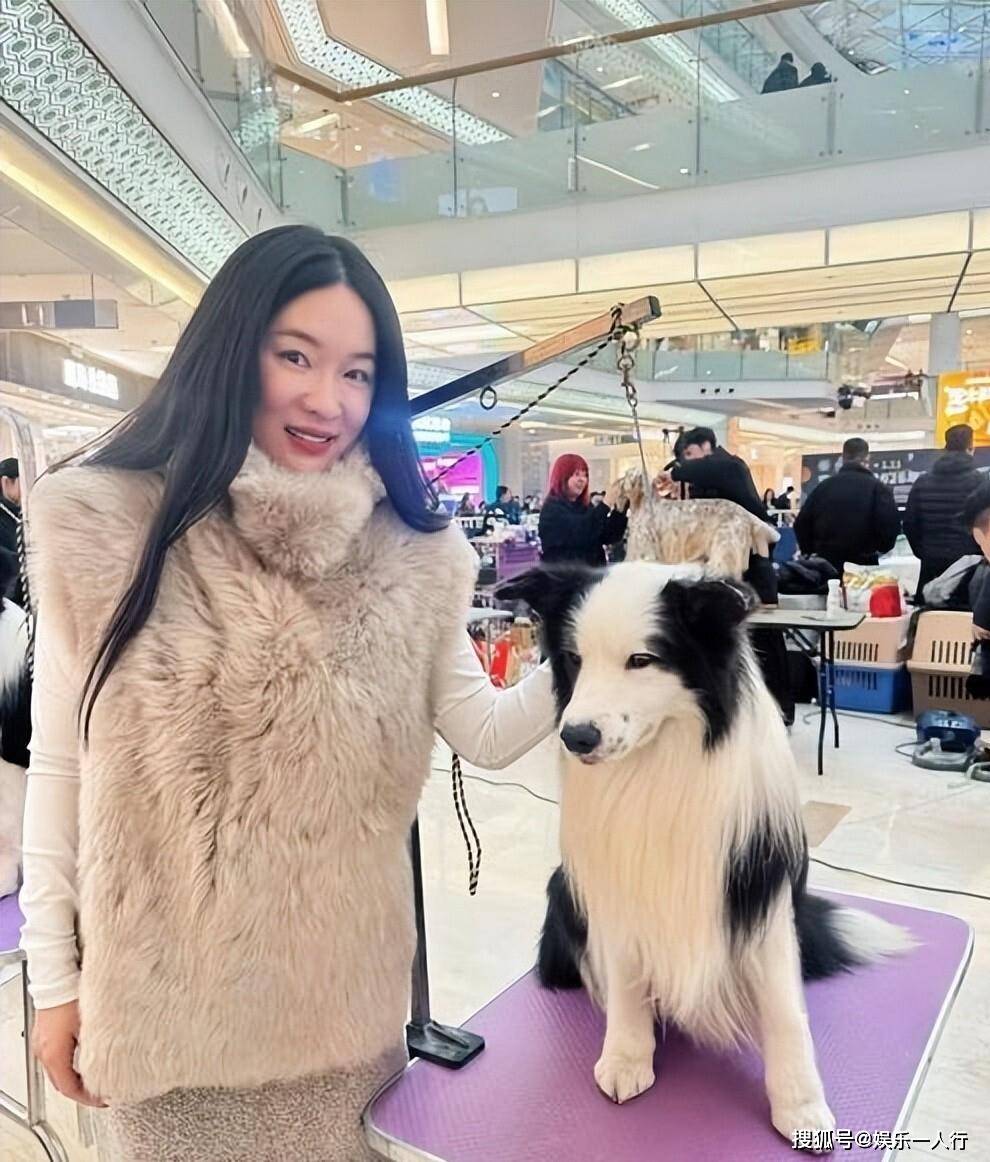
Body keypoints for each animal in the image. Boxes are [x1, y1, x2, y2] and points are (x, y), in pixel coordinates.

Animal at [497, 562, 912, 1150]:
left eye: (641, 660)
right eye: (574, 658)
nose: (575, 737)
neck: (662, 764)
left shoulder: (758, 887)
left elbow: (785, 1010)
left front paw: (802, 1106)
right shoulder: (617, 887)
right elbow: (626, 980)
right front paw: (627, 1057)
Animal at [616, 468, 779, 579]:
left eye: (627, 474)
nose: (618, 483)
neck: (643, 503)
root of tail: (745, 513)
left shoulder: (645, 548)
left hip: (725, 545)